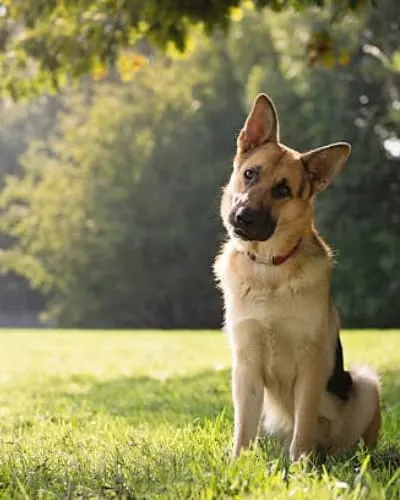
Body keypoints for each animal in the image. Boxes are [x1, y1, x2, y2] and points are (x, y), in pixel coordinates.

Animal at [214, 93, 380, 460]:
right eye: (250, 174)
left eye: (282, 190)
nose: (242, 217)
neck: (269, 268)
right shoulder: (245, 366)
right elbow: (243, 428)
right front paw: (237, 463)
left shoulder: (311, 366)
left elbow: (303, 425)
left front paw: (301, 465)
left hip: (365, 382)